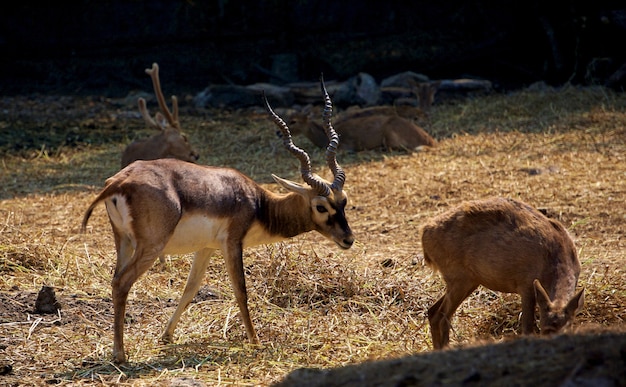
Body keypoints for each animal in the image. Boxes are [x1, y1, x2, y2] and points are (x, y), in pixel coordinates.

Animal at [79, 76, 352, 364]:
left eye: (344, 201)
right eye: (320, 206)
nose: (348, 239)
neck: (258, 203)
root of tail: (119, 181)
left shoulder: (206, 248)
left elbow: (190, 288)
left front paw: (166, 336)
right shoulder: (232, 243)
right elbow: (240, 289)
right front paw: (255, 341)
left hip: (123, 241)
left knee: (115, 280)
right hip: (150, 247)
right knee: (122, 283)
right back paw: (120, 355)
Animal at [286, 81, 436, 151]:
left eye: (293, 121)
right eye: (288, 118)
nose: (280, 133)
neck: (324, 138)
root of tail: (431, 141)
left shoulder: (346, 146)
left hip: (390, 135)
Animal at [422, 199, 584, 350]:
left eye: (567, 329)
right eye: (544, 330)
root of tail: (425, 232)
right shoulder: (526, 284)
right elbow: (527, 328)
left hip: (469, 280)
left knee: (434, 311)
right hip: (457, 276)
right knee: (440, 316)